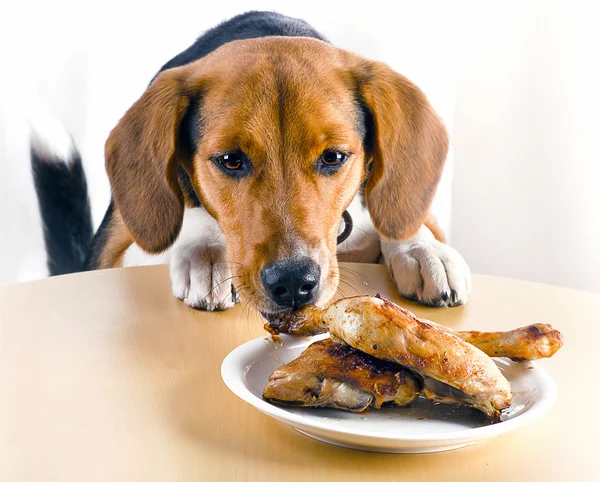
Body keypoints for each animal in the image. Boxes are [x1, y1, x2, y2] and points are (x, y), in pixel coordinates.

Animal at [68, 11, 472, 316]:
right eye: (230, 160)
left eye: (333, 157)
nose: (293, 283)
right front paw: (206, 250)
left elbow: (402, 219)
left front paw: (422, 249)